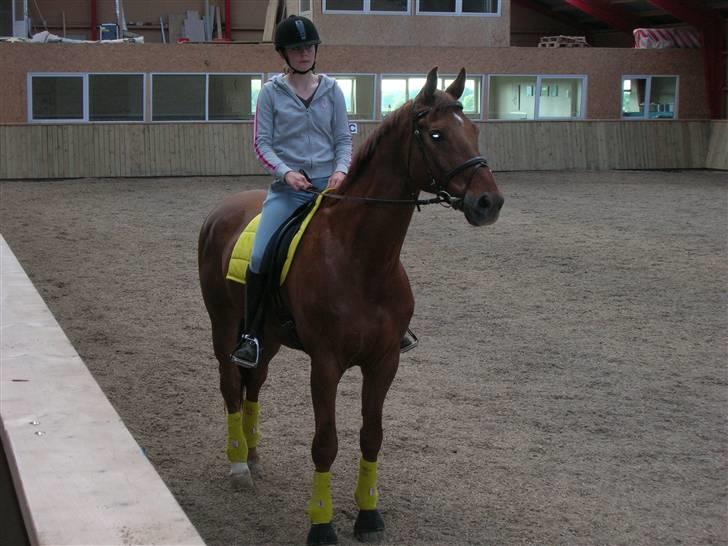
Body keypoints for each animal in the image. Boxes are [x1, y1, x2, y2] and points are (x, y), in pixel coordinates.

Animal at [196, 66, 504, 540]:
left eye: (472, 130)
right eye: (436, 135)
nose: (489, 202)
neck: (361, 259)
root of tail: (221, 211)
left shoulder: (383, 362)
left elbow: (371, 436)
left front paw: (369, 514)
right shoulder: (326, 363)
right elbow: (325, 444)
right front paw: (321, 525)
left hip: (266, 335)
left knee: (255, 383)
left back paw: (253, 456)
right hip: (224, 323)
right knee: (231, 385)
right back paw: (237, 466)